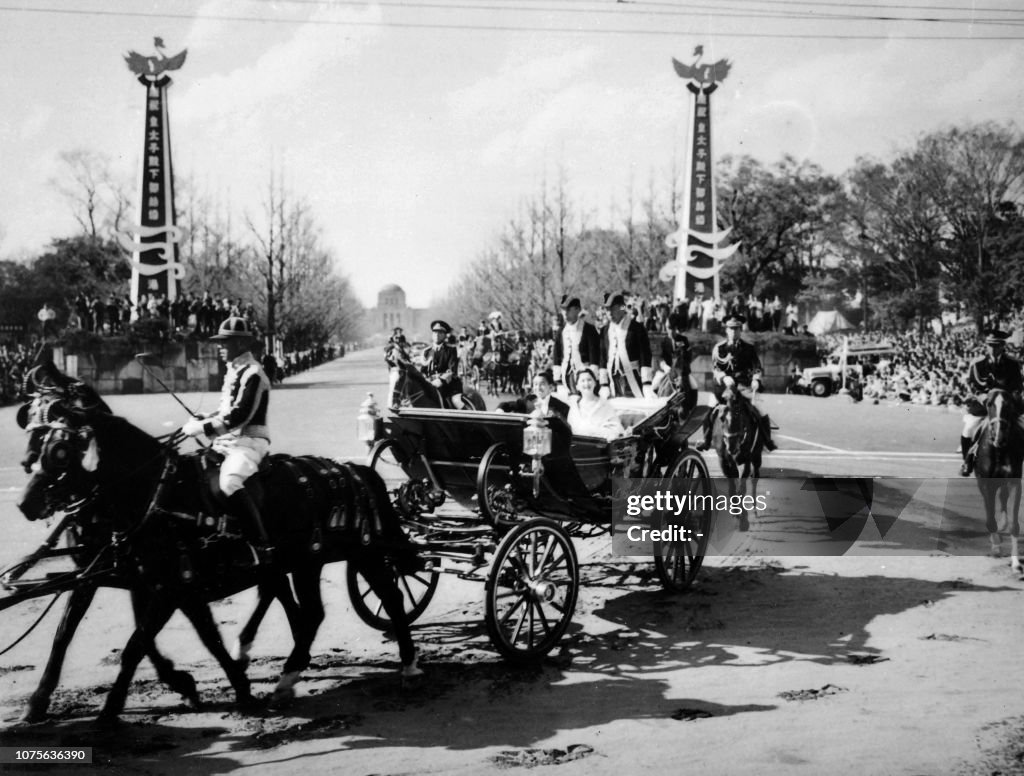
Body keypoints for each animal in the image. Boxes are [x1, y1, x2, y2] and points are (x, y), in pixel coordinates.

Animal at [16, 382, 417, 724]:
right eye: (36, 436)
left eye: (59, 450)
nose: (25, 503)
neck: (159, 494)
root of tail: (354, 469)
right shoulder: (140, 581)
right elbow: (73, 635)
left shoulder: (167, 587)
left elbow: (138, 644)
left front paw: (111, 710)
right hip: (310, 560)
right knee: (310, 610)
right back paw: (287, 672)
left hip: (359, 552)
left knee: (390, 597)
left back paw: (407, 666)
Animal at [970, 389, 1019, 573]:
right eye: (989, 404)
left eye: (1009, 405)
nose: (1000, 436)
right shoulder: (985, 484)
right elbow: (990, 519)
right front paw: (996, 547)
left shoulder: (1014, 482)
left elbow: (1014, 523)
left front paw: (1016, 562)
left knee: (1003, 497)